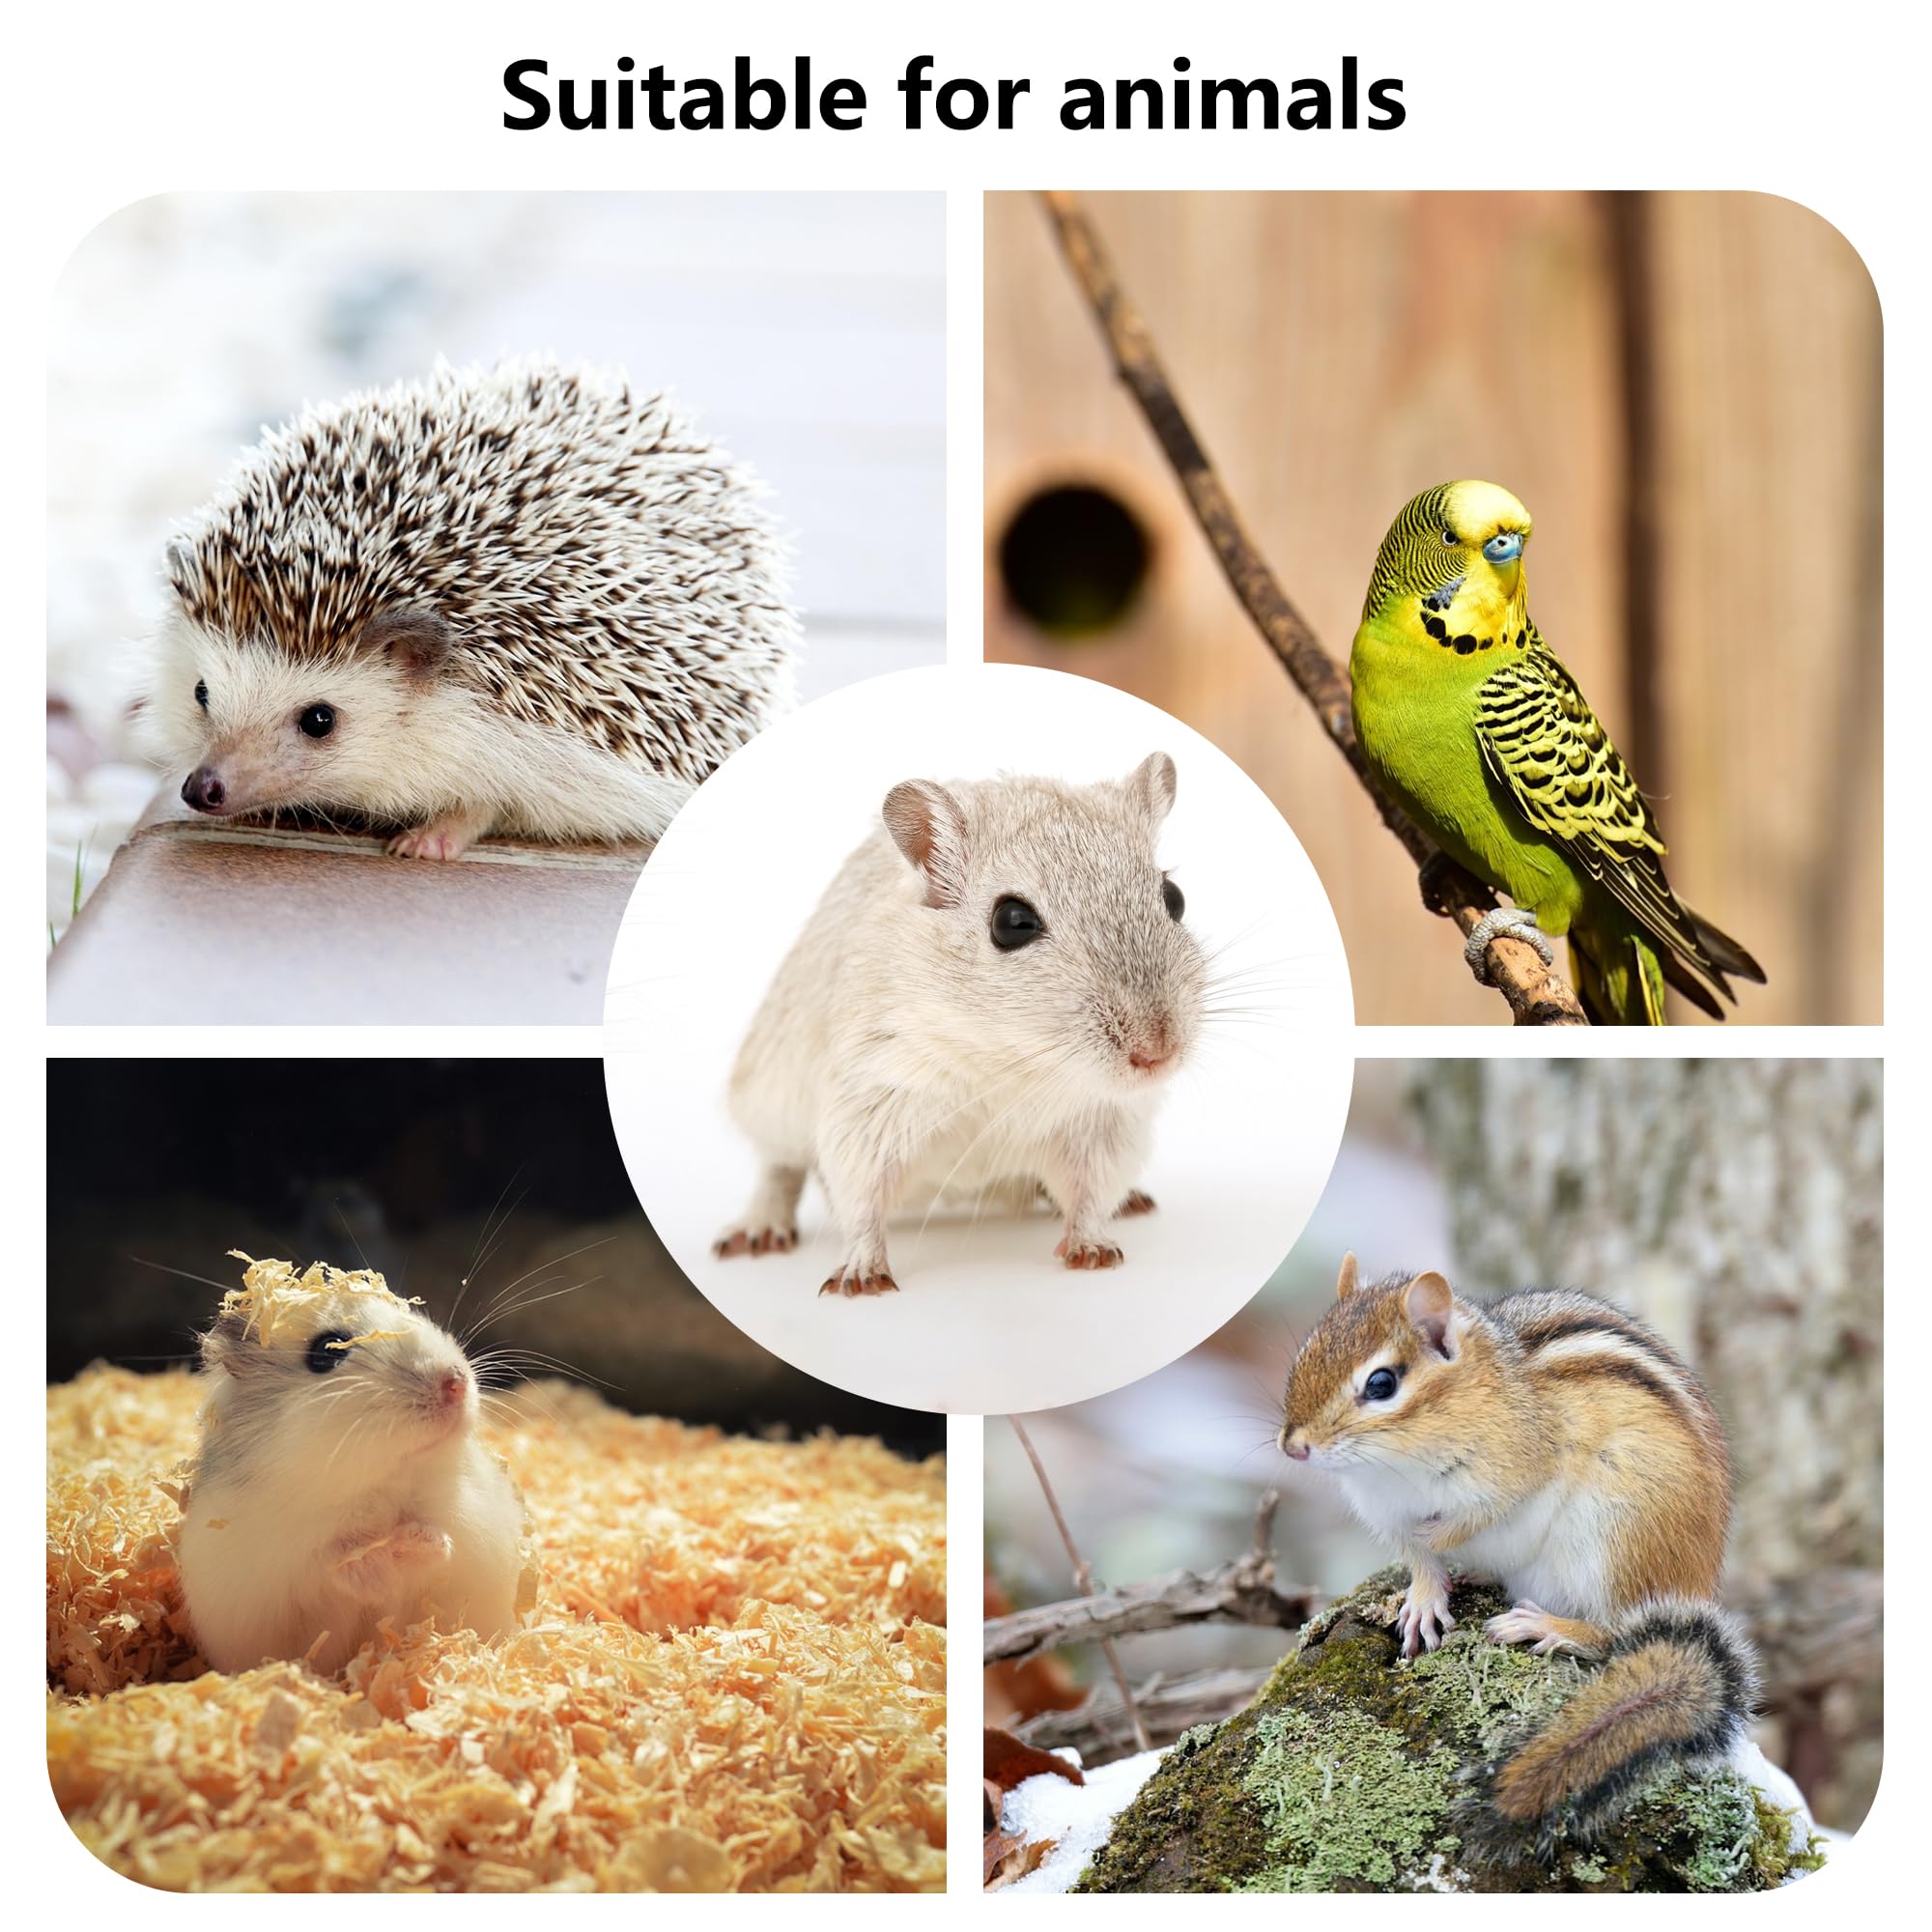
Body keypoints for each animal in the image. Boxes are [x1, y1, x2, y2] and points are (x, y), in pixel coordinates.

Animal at [177, 1256, 524, 1676]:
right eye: (327, 1351)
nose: (455, 1383)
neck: (377, 1485)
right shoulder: (284, 1557)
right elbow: (333, 1563)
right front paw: (379, 1559)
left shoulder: (469, 1522)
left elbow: (439, 1541)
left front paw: (419, 1542)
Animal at [716, 754, 1207, 1295]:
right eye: (1011, 922)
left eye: (1174, 897)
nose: (1157, 1055)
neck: (1013, 1057)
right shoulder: (873, 1094)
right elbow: (860, 1197)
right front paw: (860, 1279)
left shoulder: (1105, 1120)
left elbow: (1092, 1191)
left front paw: (1093, 1250)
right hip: (767, 1097)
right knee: (779, 1167)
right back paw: (756, 1232)